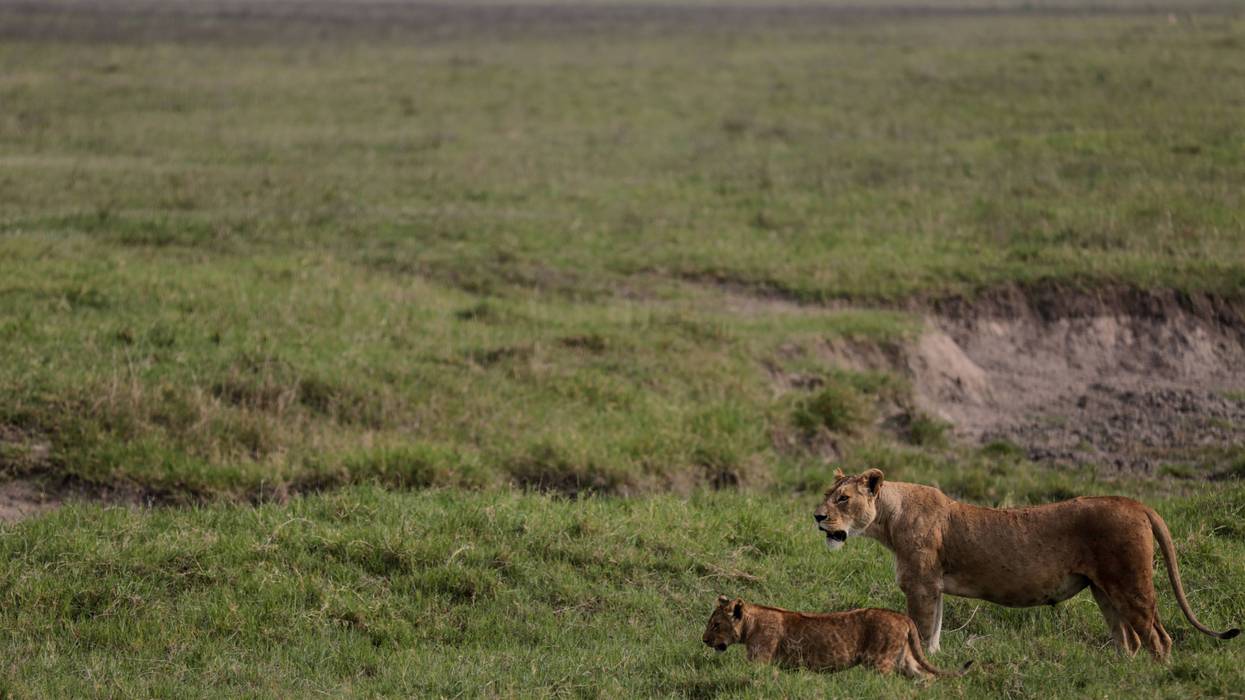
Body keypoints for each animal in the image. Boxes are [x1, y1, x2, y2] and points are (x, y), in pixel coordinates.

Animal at [701, 595, 971, 679]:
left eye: (716, 624)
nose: (704, 640)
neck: (751, 622)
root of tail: (903, 617)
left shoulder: (759, 659)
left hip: (880, 661)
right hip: (905, 659)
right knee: (926, 676)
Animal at [813, 468, 1240, 659]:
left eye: (843, 498)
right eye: (827, 494)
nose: (817, 516)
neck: (889, 518)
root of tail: (1136, 503)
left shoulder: (919, 584)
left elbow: (918, 628)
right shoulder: (933, 587)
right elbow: (933, 630)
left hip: (1131, 583)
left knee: (1158, 638)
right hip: (1104, 591)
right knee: (1129, 640)